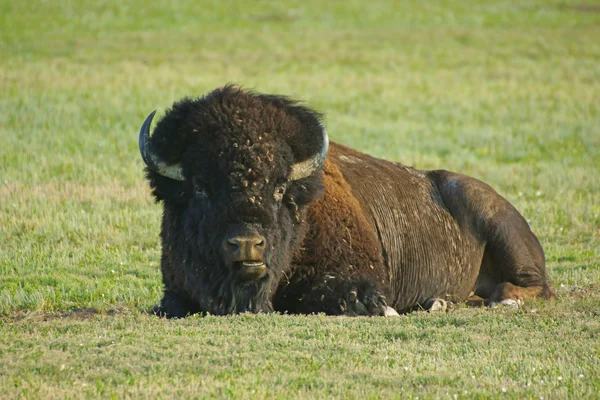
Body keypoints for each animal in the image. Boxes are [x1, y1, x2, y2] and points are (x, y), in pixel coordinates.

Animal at [138, 86, 556, 318]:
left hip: (507, 235)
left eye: (279, 188)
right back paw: (439, 303)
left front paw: (385, 310)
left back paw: (501, 302)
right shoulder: (176, 290)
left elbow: (347, 298)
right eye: (200, 187)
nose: (247, 245)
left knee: (535, 286)